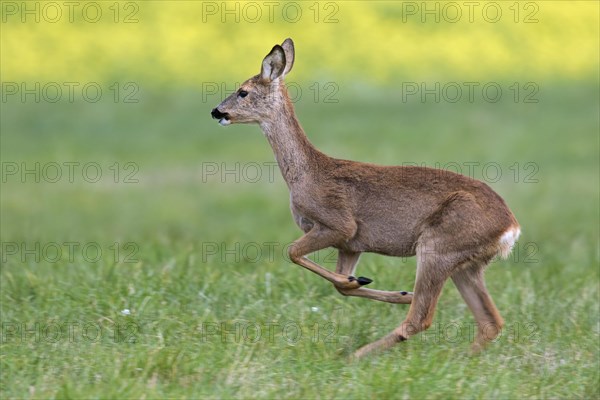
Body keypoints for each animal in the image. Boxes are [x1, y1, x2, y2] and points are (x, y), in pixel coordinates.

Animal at [211, 39, 520, 358]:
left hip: (438, 246)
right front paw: (372, 285)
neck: (307, 173)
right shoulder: (351, 245)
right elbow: (339, 285)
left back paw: (356, 356)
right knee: (490, 322)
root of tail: (510, 228)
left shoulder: (339, 224)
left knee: (421, 319)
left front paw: (375, 286)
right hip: (467, 264)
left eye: (243, 91)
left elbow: (292, 252)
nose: (216, 111)